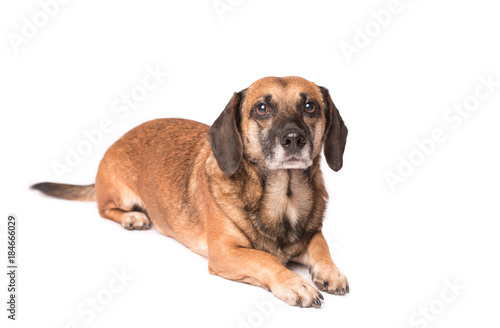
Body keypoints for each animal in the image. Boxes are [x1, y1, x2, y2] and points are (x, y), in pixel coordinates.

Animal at [33, 76, 350, 308]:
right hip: (118, 195)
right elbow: (266, 259)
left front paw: (330, 272)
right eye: (262, 109)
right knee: (106, 209)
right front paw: (294, 282)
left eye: (310, 106)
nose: (293, 139)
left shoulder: (311, 233)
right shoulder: (225, 254)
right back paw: (132, 218)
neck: (284, 197)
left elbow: (321, 245)